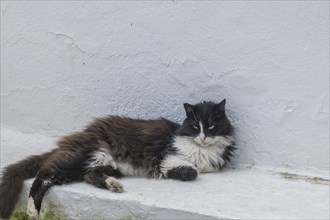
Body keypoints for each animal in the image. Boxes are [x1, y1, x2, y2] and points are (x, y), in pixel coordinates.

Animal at [1, 99, 236, 218]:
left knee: (88, 176)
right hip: (87, 156)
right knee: (45, 174)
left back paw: (113, 185)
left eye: (211, 126)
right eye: (196, 126)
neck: (202, 149)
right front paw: (182, 171)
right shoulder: (166, 155)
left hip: (103, 164)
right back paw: (32, 209)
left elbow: (195, 169)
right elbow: (190, 171)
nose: (203, 138)